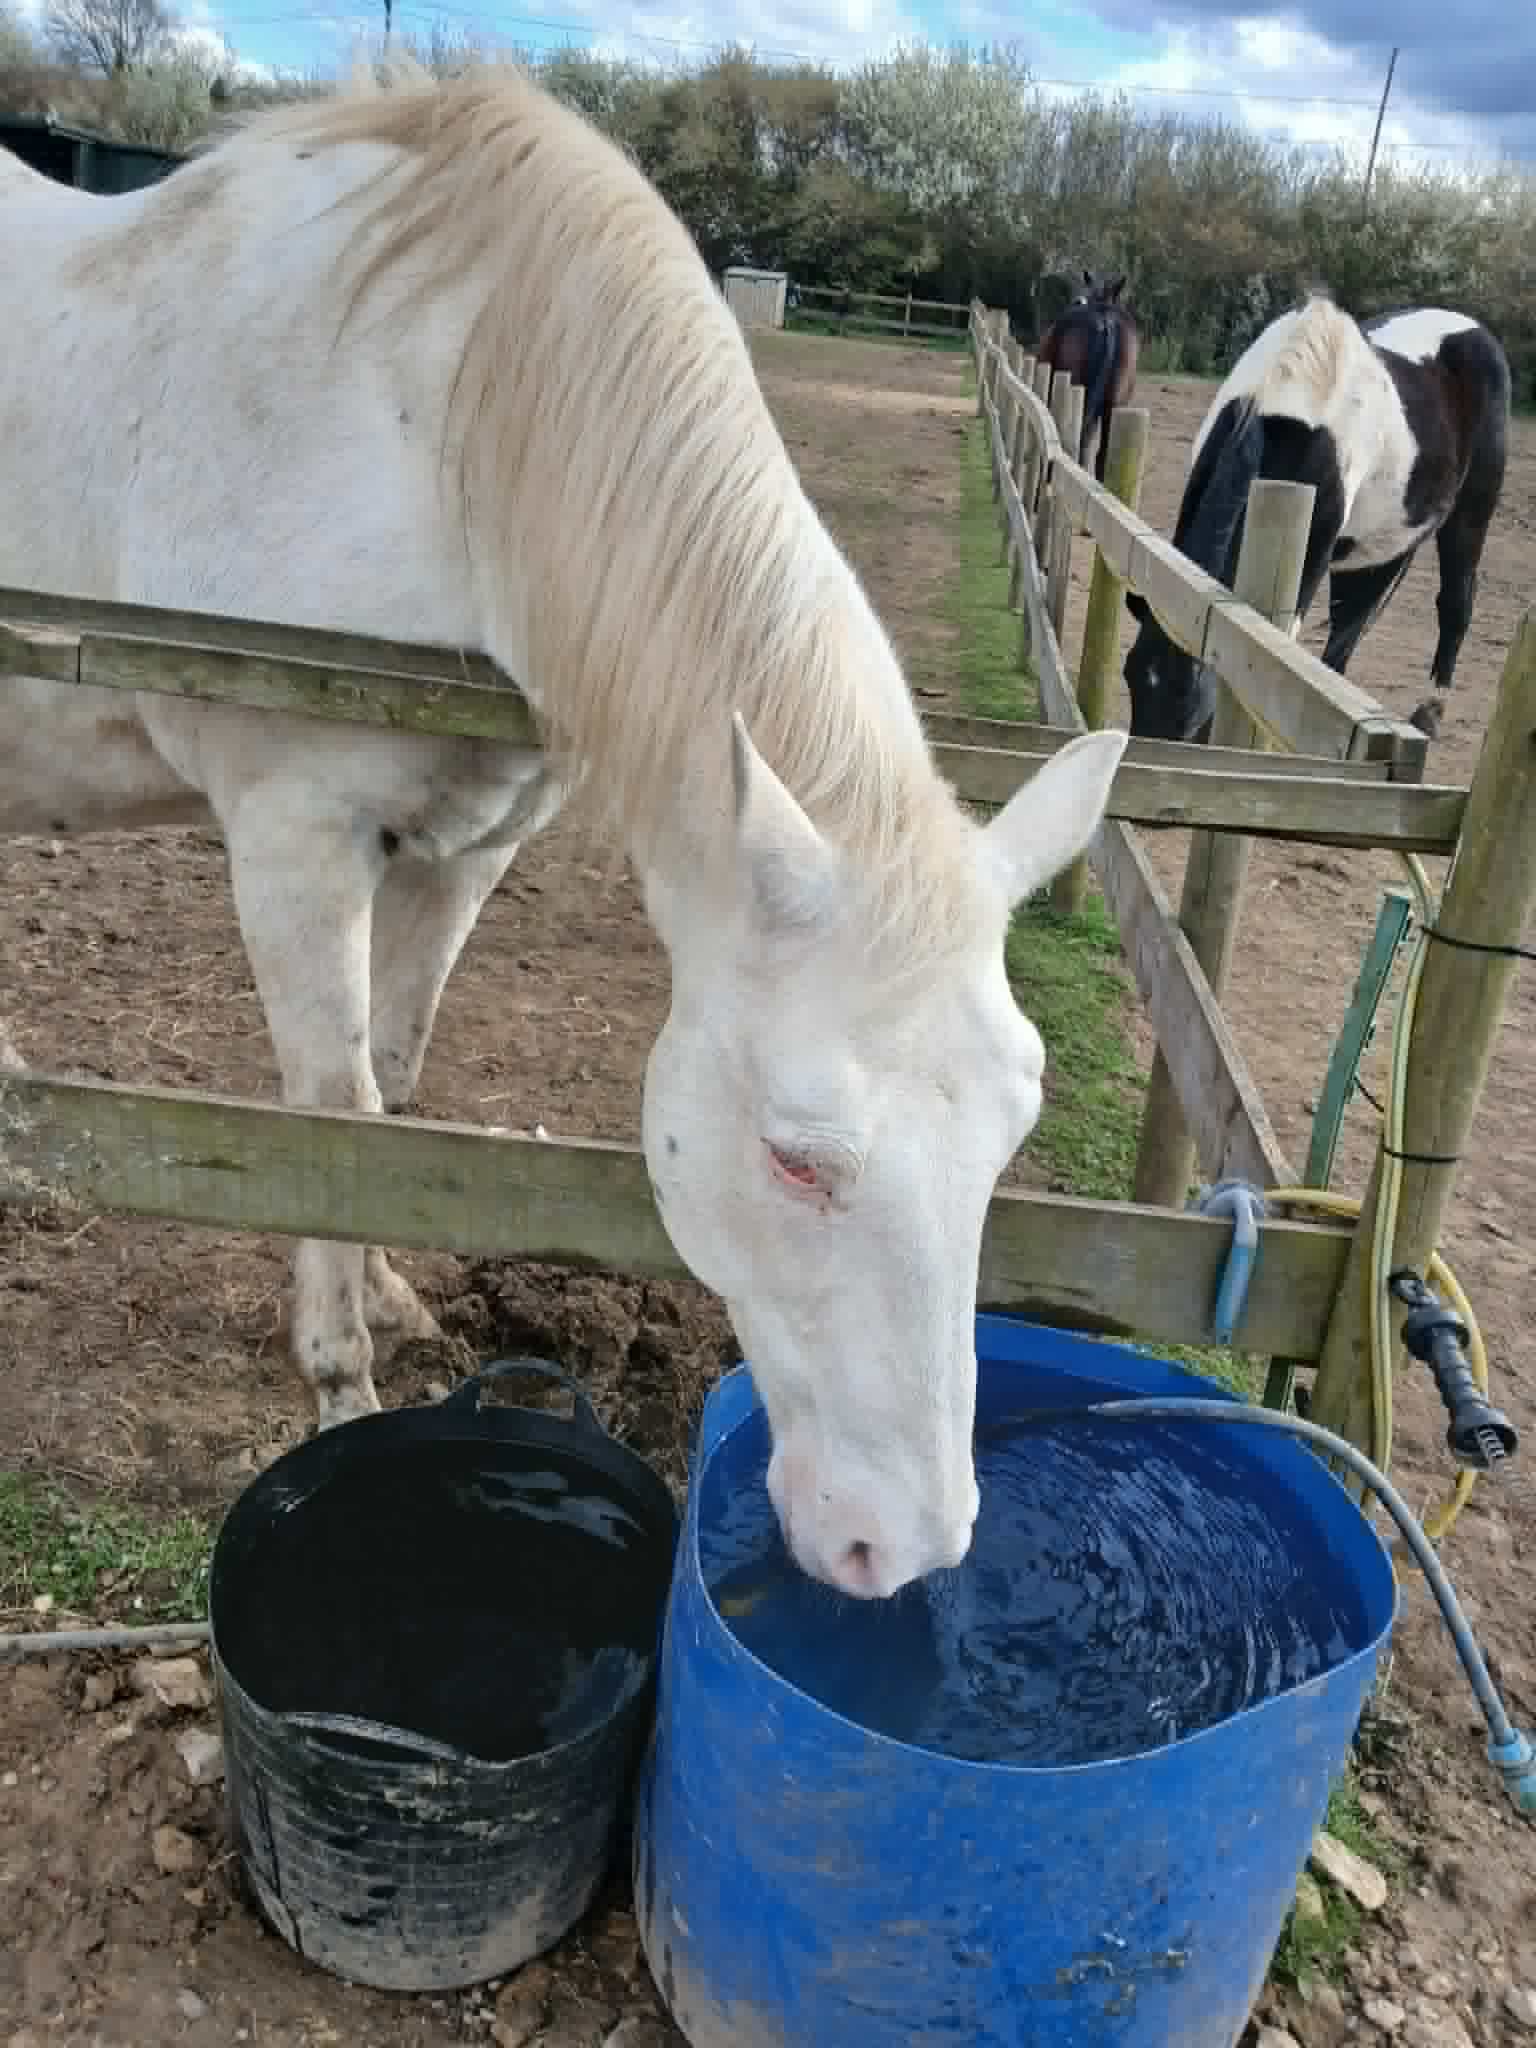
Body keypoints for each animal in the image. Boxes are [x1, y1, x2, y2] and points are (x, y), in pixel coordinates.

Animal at [0, 63, 1126, 1601]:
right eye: (796, 1156)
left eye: (1015, 1127)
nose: (901, 1548)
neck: (434, 427)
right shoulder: (295, 839)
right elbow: (325, 1110)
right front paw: (337, 1379)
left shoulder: (465, 848)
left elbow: (392, 1089)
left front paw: (393, 1303)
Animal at [1121, 295, 1511, 744]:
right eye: (1129, 678)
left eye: (1197, 721)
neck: (1282, 405)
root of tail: (1475, 330)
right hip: (1373, 548)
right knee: (1350, 623)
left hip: (1469, 514)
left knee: (1455, 602)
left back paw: (1430, 710)